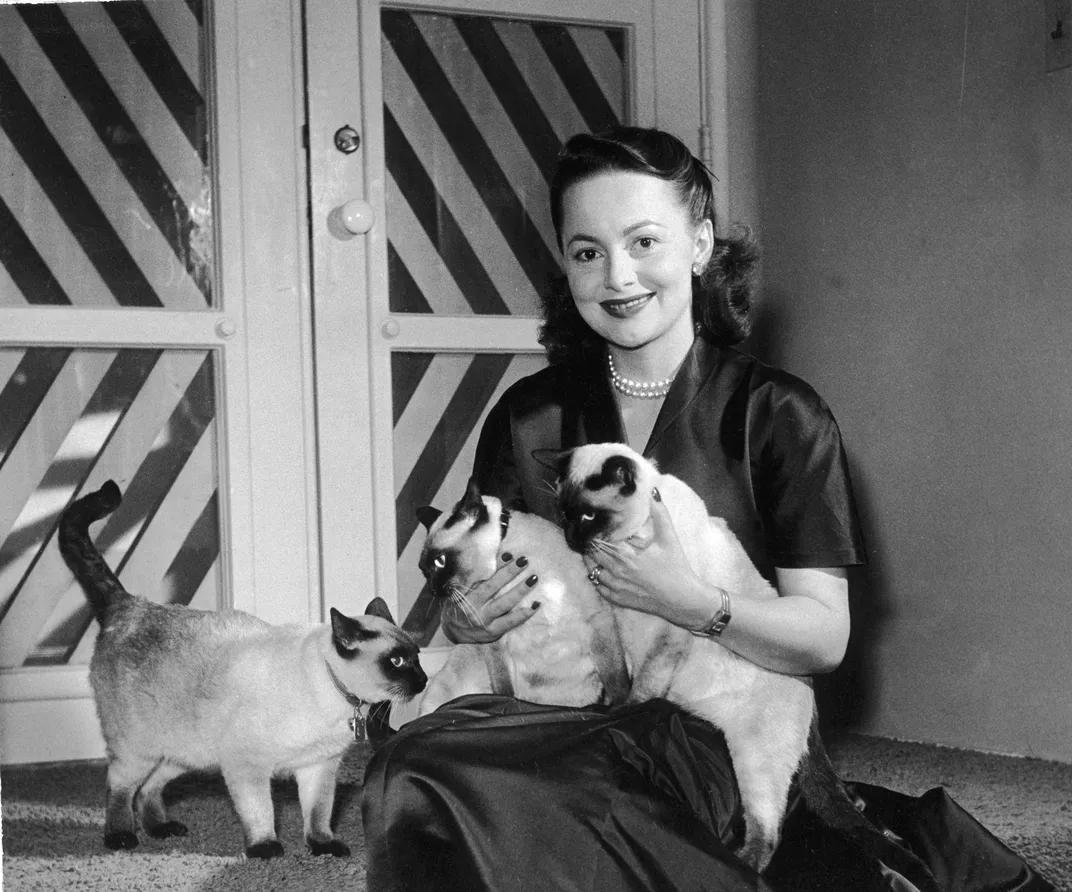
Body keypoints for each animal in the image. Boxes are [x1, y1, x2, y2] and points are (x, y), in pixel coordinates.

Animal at [58, 480, 424, 857]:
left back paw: (161, 828)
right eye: (397, 662)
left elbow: (318, 814)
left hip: (182, 755)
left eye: (418, 656)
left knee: (150, 788)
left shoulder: (317, 766)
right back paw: (121, 837)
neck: (337, 698)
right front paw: (266, 848)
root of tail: (130, 604)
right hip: (140, 750)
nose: (423, 680)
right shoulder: (247, 766)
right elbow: (261, 812)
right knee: (119, 787)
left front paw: (324, 847)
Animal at [411, 478, 626, 716]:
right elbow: (505, 692)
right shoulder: (496, 642)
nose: (433, 590)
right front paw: (507, 708)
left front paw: (621, 707)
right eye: (424, 571)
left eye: (439, 562)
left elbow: (618, 681)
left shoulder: (597, 619)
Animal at [553, 441, 939, 887]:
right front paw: (607, 707)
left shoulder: (670, 628)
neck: (636, 535)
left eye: (587, 517)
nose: (569, 536)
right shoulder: (612, 619)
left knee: (769, 836)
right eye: (564, 513)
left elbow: (644, 685)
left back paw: (735, 864)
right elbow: (617, 674)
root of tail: (811, 698)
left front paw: (624, 713)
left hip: (755, 761)